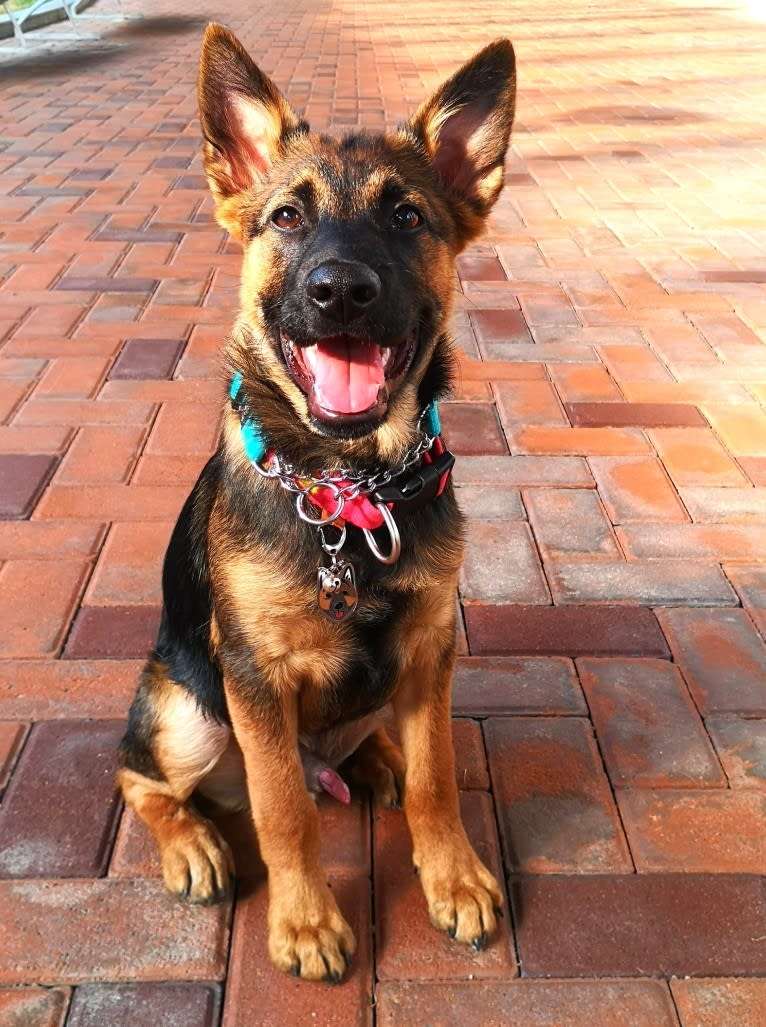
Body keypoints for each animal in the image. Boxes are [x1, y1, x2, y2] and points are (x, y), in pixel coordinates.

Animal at [118, 24, 513, 981]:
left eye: (407, 216)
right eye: (287, 217)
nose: (340, 291)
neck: (349, 492)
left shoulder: (430, 645)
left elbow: (438, 777)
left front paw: (454, 877)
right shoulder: (255, 675)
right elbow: (283, 810)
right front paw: (303, 922)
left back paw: (373, 759)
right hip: (188, 712)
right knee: (140, 774)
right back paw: (193, 843)